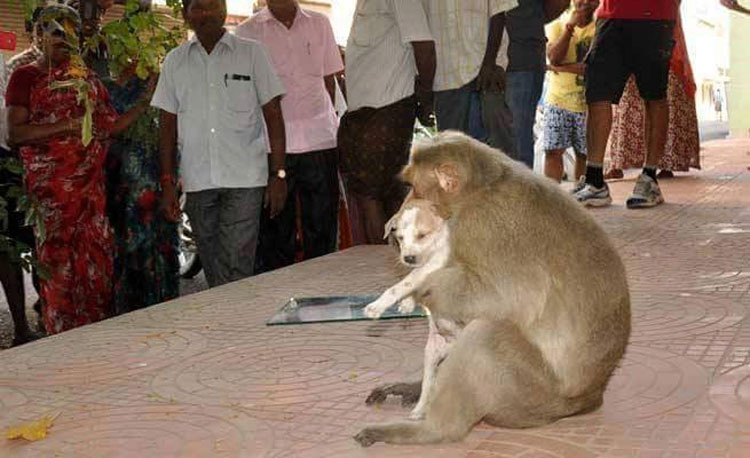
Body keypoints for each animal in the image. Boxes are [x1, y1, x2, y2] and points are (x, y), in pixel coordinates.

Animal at [364, 199, 458, 420]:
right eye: (399, 238)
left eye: (422, 235)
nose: (408, 258)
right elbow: (410, 286)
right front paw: (407, 303)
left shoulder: (433, 263)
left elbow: (403, 284)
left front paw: (376, 307)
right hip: (431, 354)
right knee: (428, 387)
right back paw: (418, 411)